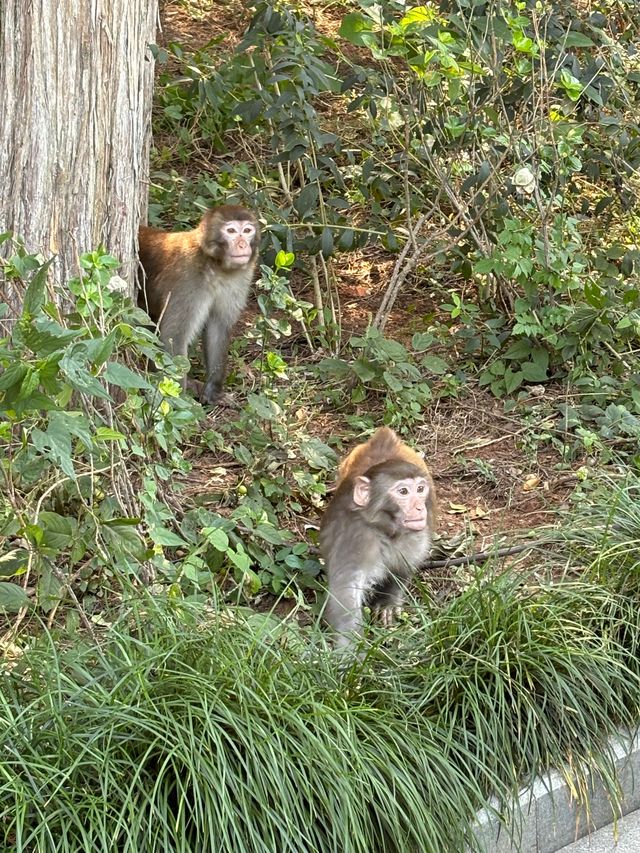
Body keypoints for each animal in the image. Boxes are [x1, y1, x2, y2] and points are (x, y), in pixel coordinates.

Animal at [138, 206, 260, 406]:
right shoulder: (188, 281)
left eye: (248, 230)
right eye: (231, 231)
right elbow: (174, 336)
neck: (214, 264)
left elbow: (217, 328)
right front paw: (177, 402)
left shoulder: (239, 279)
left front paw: (213, 392)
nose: (243, 245)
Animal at [318, 430, 438, 648]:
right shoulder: (357, 537)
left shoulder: (415, 536)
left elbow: (402, 568)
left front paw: (387, 603)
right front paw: (349, 649)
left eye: (420, 489)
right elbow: (346, 591)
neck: (384, 529)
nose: (419, 508)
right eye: (403, 492)